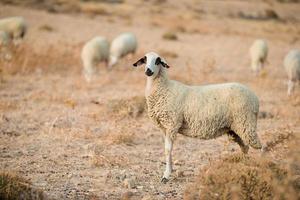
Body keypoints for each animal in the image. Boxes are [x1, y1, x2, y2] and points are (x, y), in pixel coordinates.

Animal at [132, 52, 262, 183]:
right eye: (145, 59)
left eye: (157, 61)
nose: (148, 71)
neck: (164, 88)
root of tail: (255, 97)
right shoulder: (165, 128)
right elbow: (167, 149)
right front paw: (169, 170)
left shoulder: (172, 124)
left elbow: (168, 149)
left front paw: (166, 175)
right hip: (236, 128)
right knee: (245, 147)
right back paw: (243, 166)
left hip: (246, 122)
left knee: (260, 147)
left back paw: (263, 166)